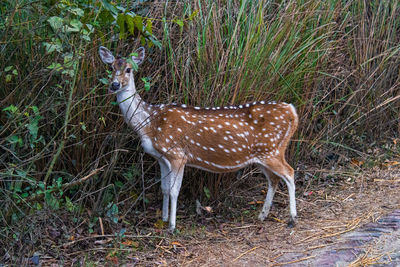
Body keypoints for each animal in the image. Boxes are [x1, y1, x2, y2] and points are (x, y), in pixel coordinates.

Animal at [99, 46, 298, 232]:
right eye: (110, 67)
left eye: (128, 69)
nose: (114, 85)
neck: (150, 122)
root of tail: (292, 111)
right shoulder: (161, 158)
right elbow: (164, 188)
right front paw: (163, 219)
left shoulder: (178, 154)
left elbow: (174, 191)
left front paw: (172, 226)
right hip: (263, 155)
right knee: (273, 179)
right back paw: (262, 215)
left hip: (272, 150)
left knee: (289, 172)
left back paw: (292, 218)